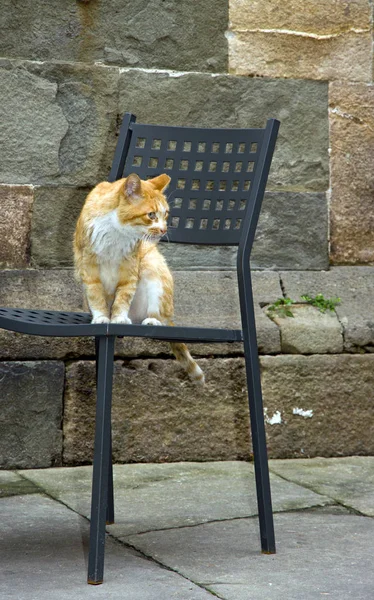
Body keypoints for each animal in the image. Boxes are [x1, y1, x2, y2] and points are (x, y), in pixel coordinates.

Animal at [73, 172, 205, 384]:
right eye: (151, 215)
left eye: (166, 214)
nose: (163, 230)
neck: (115, 232)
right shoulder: (89, 266)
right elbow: (95, 295)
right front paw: (101, 317)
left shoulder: (130, 267)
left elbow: (123, 297)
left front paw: (118, 318)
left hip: (152, 267)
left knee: (157, 314)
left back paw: (151, 320)